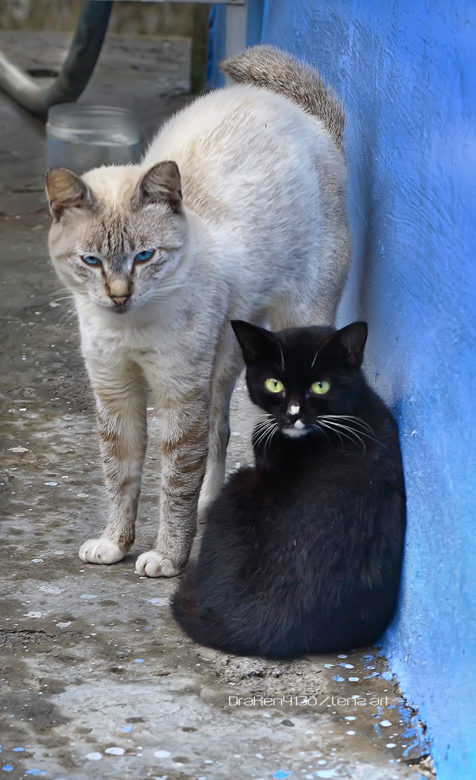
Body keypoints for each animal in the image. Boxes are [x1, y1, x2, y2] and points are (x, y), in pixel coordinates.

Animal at [45, 45, 350, 576]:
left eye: (144, 257)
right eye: (91, 261)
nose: (119, 295)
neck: (131, 326)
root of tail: (312, 121)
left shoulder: (177, 392)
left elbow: (174, 482)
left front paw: (168, 556)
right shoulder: (116, 392)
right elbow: (120, 475)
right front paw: (115, 544)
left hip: (293, 326)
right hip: (224, 360)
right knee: (221, 432)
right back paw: (213, 504)